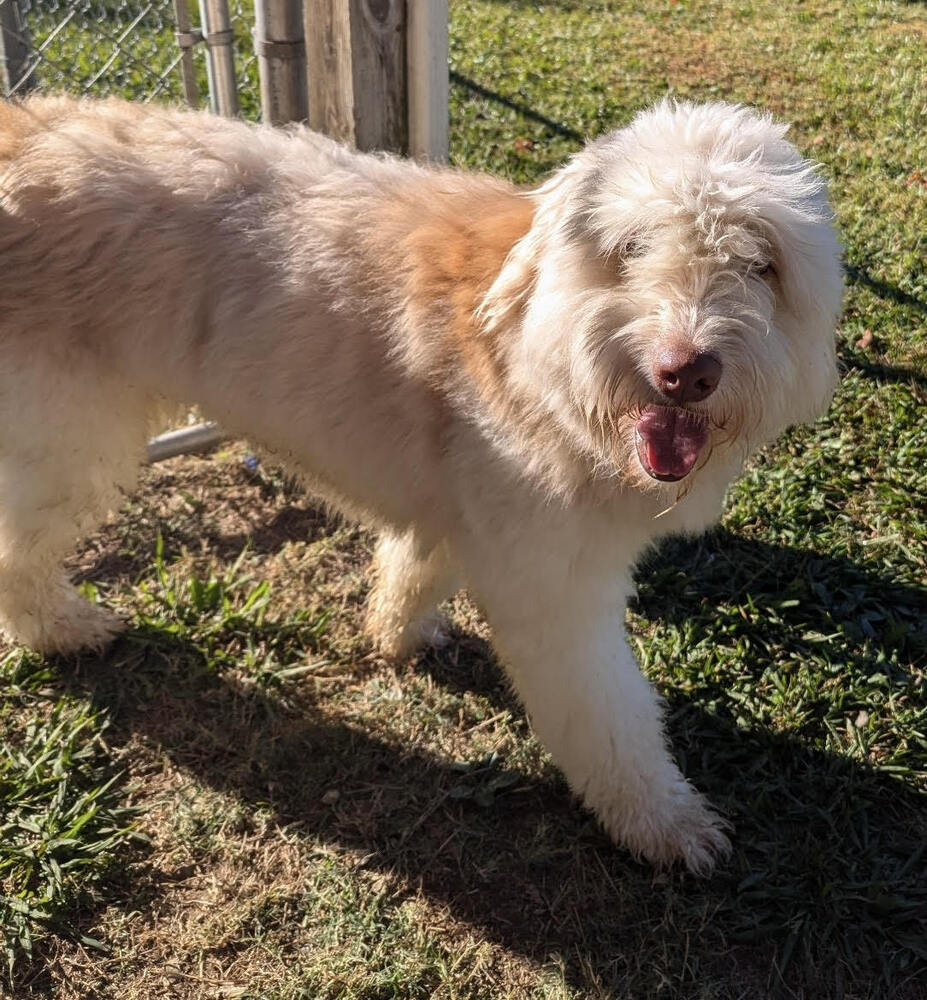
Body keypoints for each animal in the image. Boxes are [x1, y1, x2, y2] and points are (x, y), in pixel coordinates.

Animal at [0, 95, 840, 876]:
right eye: (630, 249)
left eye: (760, 264)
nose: (684, 371)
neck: (537, 358)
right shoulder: (557, 595)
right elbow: (609, 719)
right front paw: (662, 822)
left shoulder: (465, 512)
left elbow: (416, 566)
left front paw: (397, 630)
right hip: (66, 441)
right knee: (16, 557)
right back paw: (63, 628)